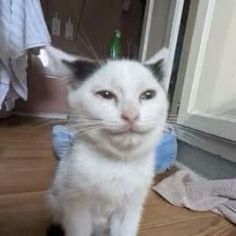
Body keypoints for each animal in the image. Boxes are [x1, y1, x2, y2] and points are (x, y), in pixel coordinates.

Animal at [47, 48, 168, 236]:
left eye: (148, 95)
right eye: (106, 95)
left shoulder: (132, 206)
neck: (117, 164)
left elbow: (126, 229)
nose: (131, 115)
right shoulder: (76, 205)